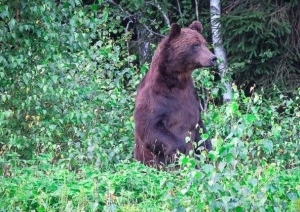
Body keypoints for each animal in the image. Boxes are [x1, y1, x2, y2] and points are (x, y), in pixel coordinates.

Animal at [134, 21, 216, 169]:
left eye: (204, 43)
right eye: (195, 45)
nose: (213, 58)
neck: (176, 81)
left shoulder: (191, 96)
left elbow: (200, 129)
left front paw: (207, 151)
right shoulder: (155, 100)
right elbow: (149, 127)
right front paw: (181, 152)